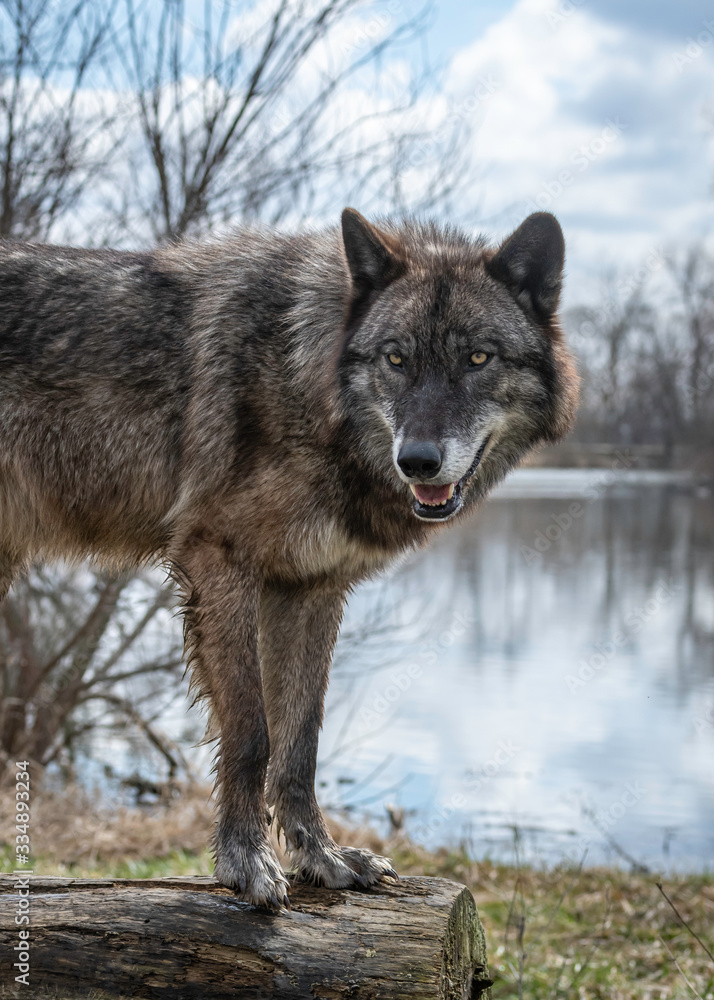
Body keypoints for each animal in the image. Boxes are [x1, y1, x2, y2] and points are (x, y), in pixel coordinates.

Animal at [0, 209, 578, 908]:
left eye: (478, 358)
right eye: (396, 359)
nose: (417, 461)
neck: (306, 382)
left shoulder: (310, 588)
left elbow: (301, 741)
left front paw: (320, 857)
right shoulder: (219, 563)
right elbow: (252, 735)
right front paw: (244, 861)